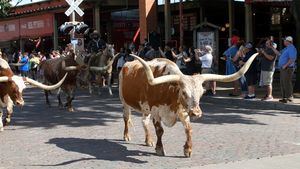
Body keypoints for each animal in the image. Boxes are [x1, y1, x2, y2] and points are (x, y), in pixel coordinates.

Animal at [118, 52, 258, 157]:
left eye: (202, 92)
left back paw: (148, 140)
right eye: (184, 92)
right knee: (126, 118)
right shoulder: (156, 111)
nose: (196, 113)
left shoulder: (183, 111)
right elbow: (160, 130)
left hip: (145, 108)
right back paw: (126, 136)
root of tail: (127, 64)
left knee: (144, 122)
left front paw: (188, 149)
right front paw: (159, 149)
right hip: (124, 102)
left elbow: (188, 129)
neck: (169, 90)